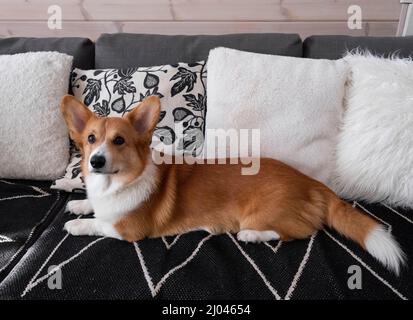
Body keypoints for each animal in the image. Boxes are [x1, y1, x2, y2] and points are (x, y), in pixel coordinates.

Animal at [61, 95, 406, 276]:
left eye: (119, 141)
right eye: (91, 139)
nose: (96, 161)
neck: (116, 183)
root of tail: (312, 183)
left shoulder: (128, 230)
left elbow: (99, 223)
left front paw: (76, 224)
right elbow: (91, 205)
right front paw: (77, 201)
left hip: (264, 215)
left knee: (297, 231)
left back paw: (252, 235)